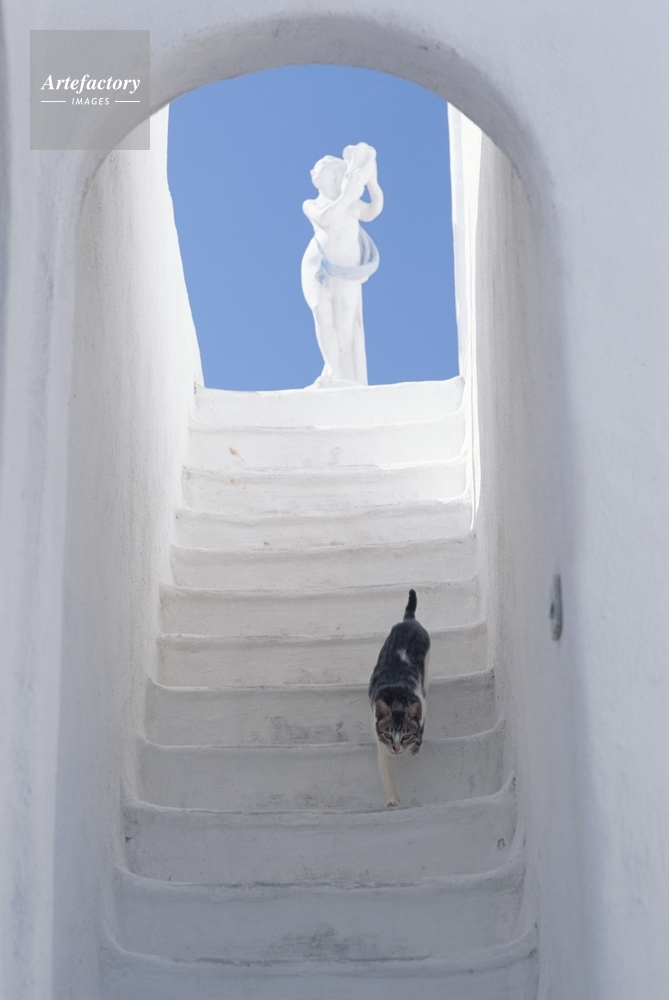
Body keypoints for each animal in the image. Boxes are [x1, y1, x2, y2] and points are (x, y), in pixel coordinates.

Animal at [368, 589, 430, 807]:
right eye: (388, 735)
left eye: (405, 735)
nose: (396, 748)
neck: (396, 700)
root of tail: (408, 620)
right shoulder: (381, 744)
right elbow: (386, 773)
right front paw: (393, 801)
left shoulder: (422, 711)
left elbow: (419, 737)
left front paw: (414, 748)